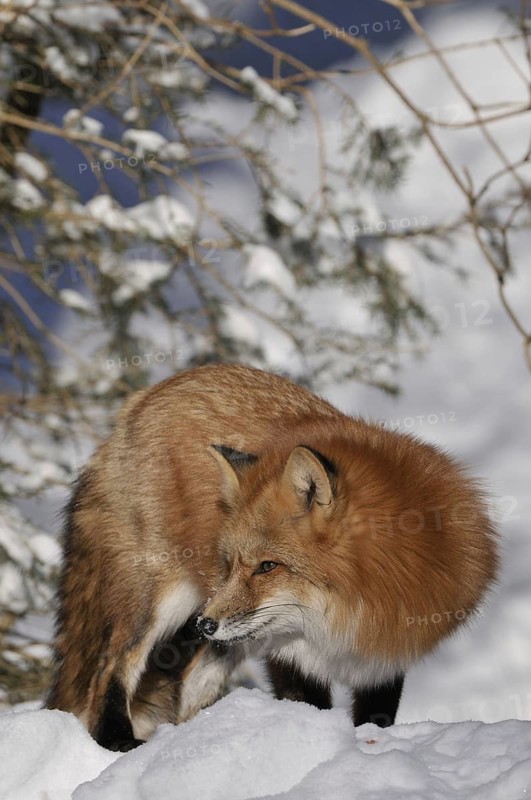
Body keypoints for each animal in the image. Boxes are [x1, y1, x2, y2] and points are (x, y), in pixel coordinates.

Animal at [46, 363, 498, 751]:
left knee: (186, 692)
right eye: (231, 563)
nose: (204, 624)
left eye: (267, 566)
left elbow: (376, 718)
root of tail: (144, 398)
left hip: (219, 639)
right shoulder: (286, 654)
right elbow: (305, 703)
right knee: (109, 668)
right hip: (160, 598)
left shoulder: (387, 654)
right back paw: (118, 741)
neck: (347, 617)